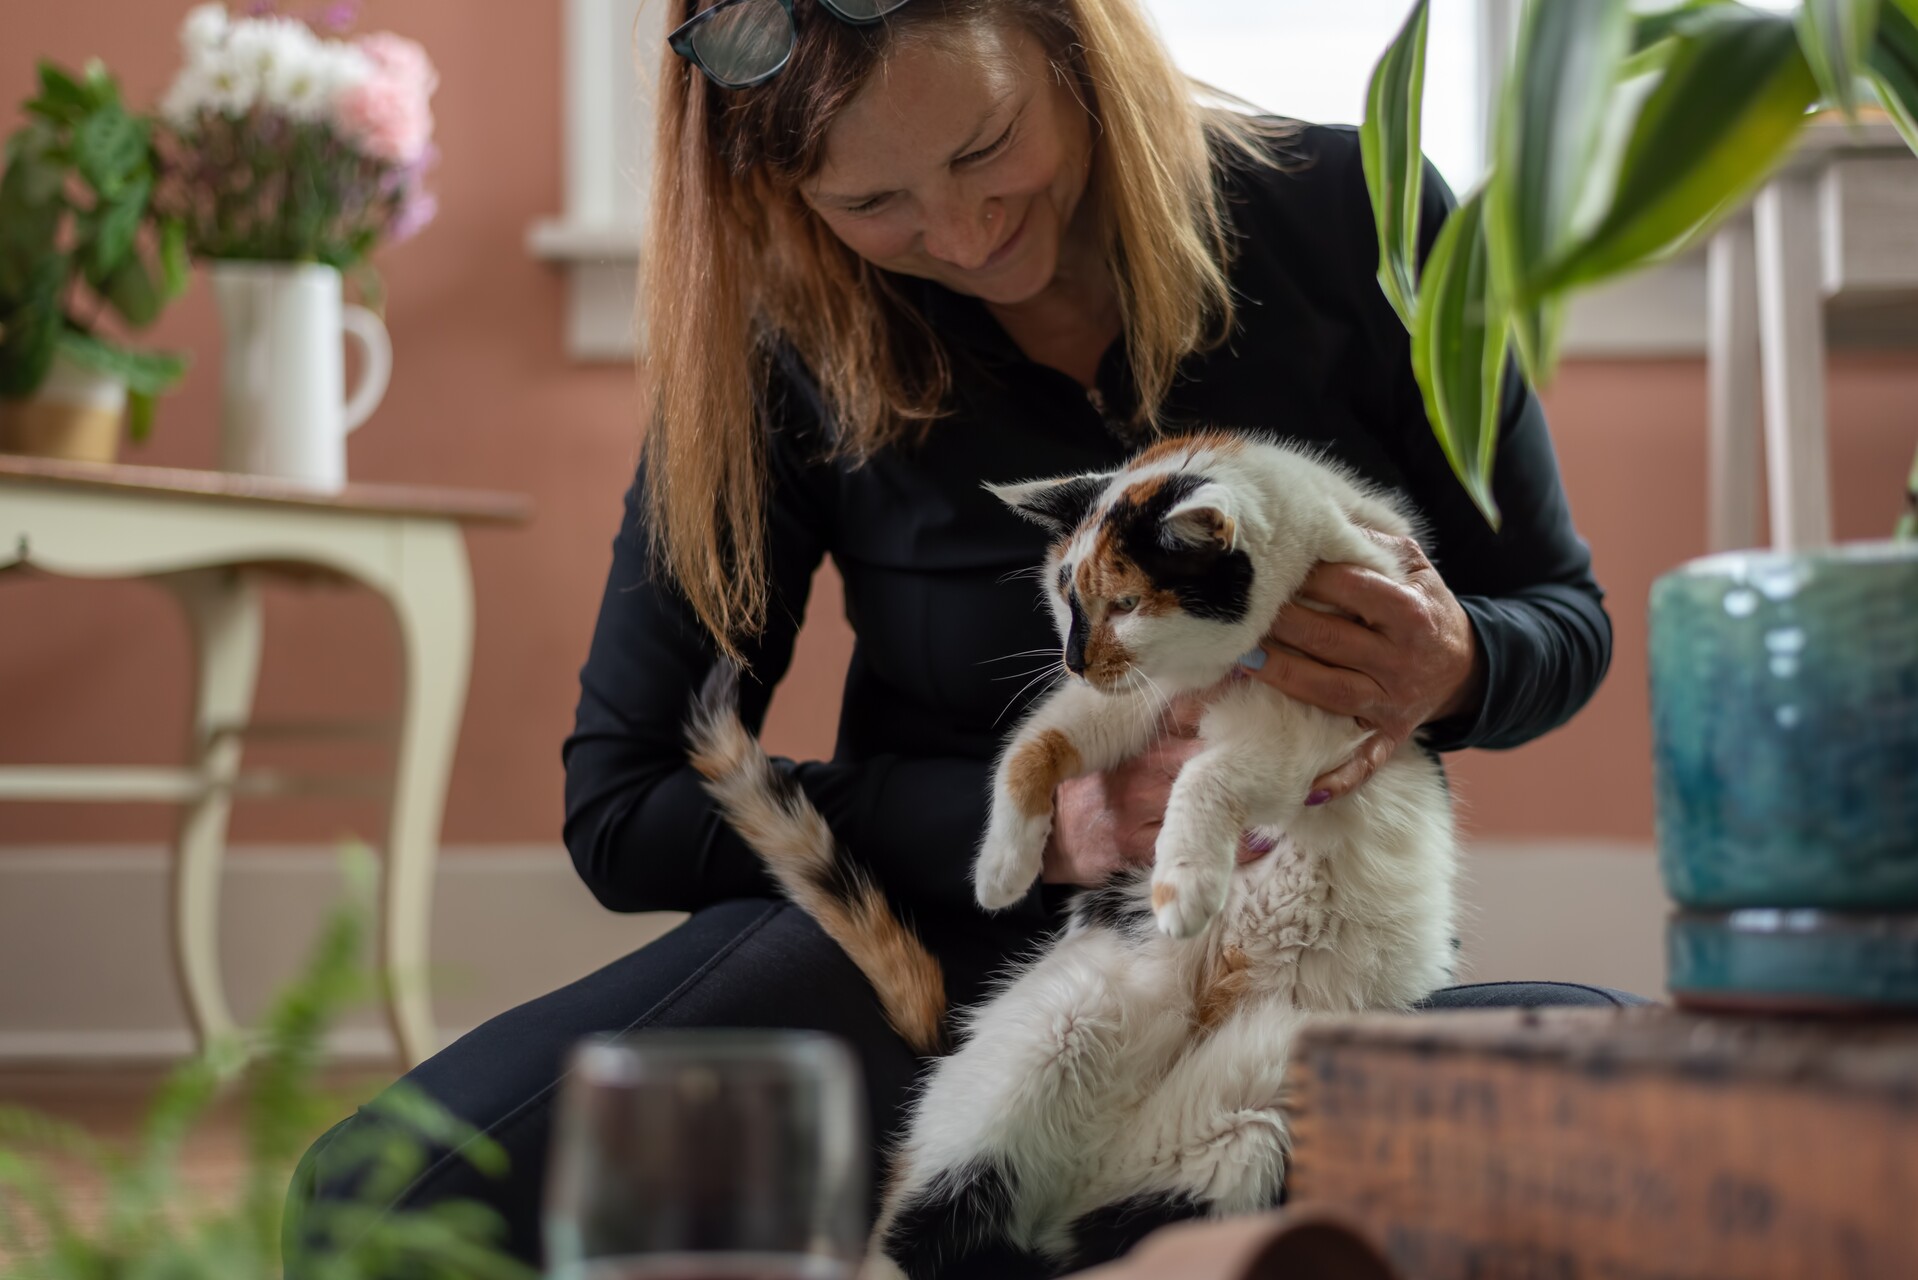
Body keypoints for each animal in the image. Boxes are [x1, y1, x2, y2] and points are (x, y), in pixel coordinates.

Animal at [686, 433, 1450, 1280]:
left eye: (1127, 604)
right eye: (1065, 593)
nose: (1075, 655)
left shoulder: (1315, 730)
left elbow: (1206, 774)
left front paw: (1183, 886)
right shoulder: (1122, 703)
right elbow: (1032, 748)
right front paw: (1001, 871)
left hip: (1253, 1126)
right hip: (1055, 1031)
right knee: (912, 1222)